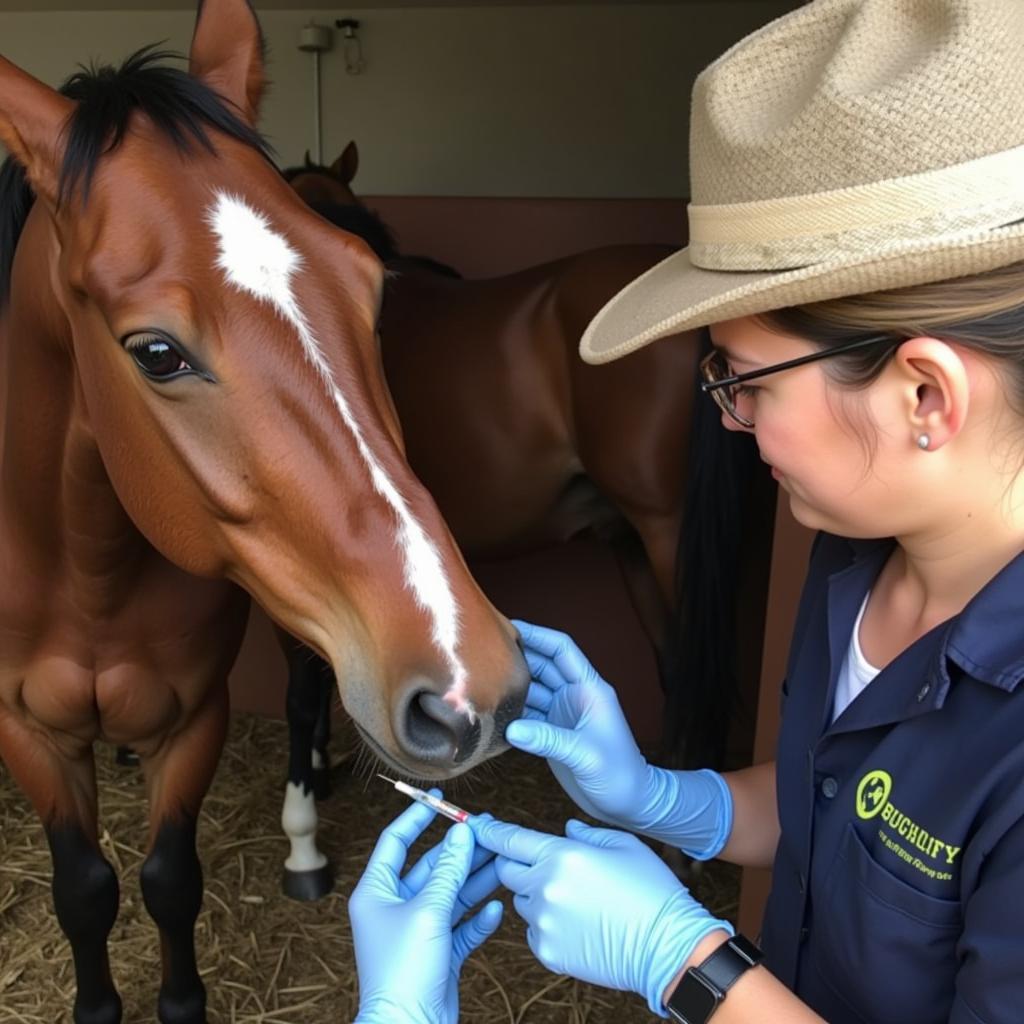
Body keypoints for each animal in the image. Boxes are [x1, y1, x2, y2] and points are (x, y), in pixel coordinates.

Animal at [0, 4, 528, 1019]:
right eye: (156, 352)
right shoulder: (28, 732)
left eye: (371, 286)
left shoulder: (194, 718)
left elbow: (170, 879)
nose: (469, 684)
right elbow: (83, 887)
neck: (82, 564)